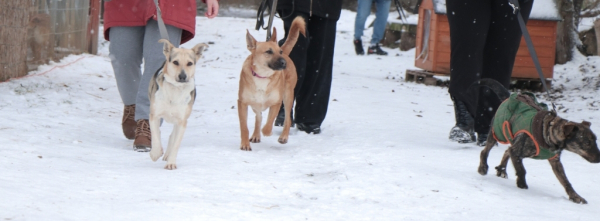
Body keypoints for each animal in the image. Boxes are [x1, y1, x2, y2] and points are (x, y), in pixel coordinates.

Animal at [148, 38, 209, 169]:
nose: (182, 76)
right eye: (175, 62)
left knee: (172, 135)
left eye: (190, 63)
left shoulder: (182, 121)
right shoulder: (154, 114)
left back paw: (167, 155)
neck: (175, 88)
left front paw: (171, 162)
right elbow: (155, 134)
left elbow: (176, 143)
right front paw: (155, 153)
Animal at [238, 16, 308, 151]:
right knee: (258, 117)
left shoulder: (276, 102)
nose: (283, 62)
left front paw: (267, 131)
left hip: (288, 95)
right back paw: (256, 135)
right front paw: (245, 144)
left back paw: (283, 137)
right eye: (268, 52)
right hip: (255, 104)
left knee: (287, 120)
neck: (263, 76)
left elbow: (269, 121)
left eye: (279, 51)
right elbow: (244, 126)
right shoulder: (242, 103)